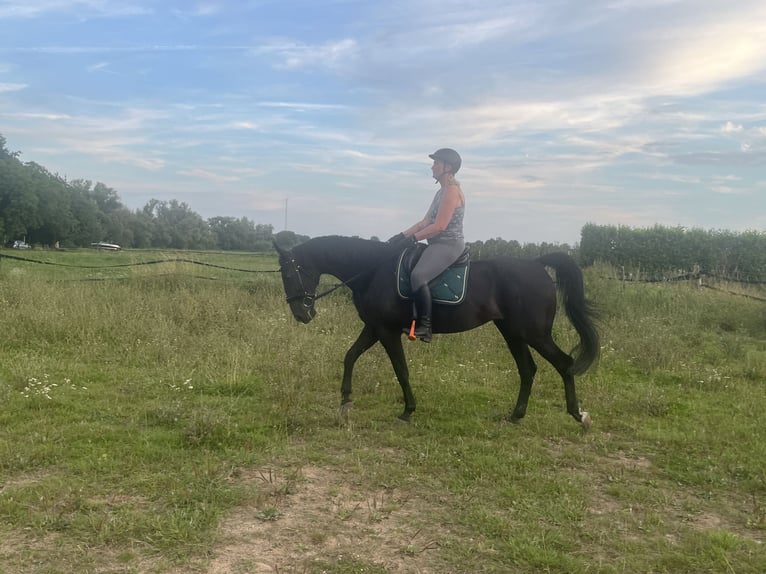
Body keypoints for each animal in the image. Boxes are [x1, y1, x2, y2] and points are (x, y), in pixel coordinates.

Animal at [272, 236, 604, 430]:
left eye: (290, 273)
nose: (302, 314)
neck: (374, 270)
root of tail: (536, 265)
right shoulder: (374, 328)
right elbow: (350, 356)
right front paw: (345, 404)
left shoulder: (386, 331)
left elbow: (401, 370)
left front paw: (408, 410)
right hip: (512, 332)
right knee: (528, 369)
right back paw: (516, 415)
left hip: (533, 333)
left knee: (563, 364)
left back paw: (579, 415)